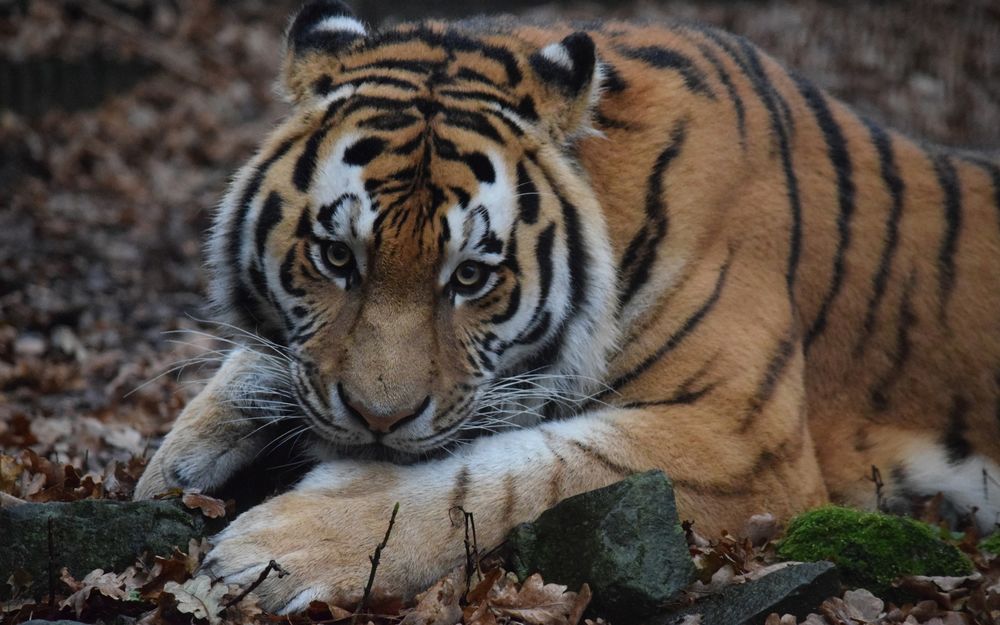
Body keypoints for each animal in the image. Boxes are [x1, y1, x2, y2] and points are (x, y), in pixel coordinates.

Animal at [133, 0, 1000, 613]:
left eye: (471, 276)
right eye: (336, 257)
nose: (379, 419)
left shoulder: (744, 441)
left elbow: (512, 476)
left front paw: (283, 542)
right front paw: (171, 466)